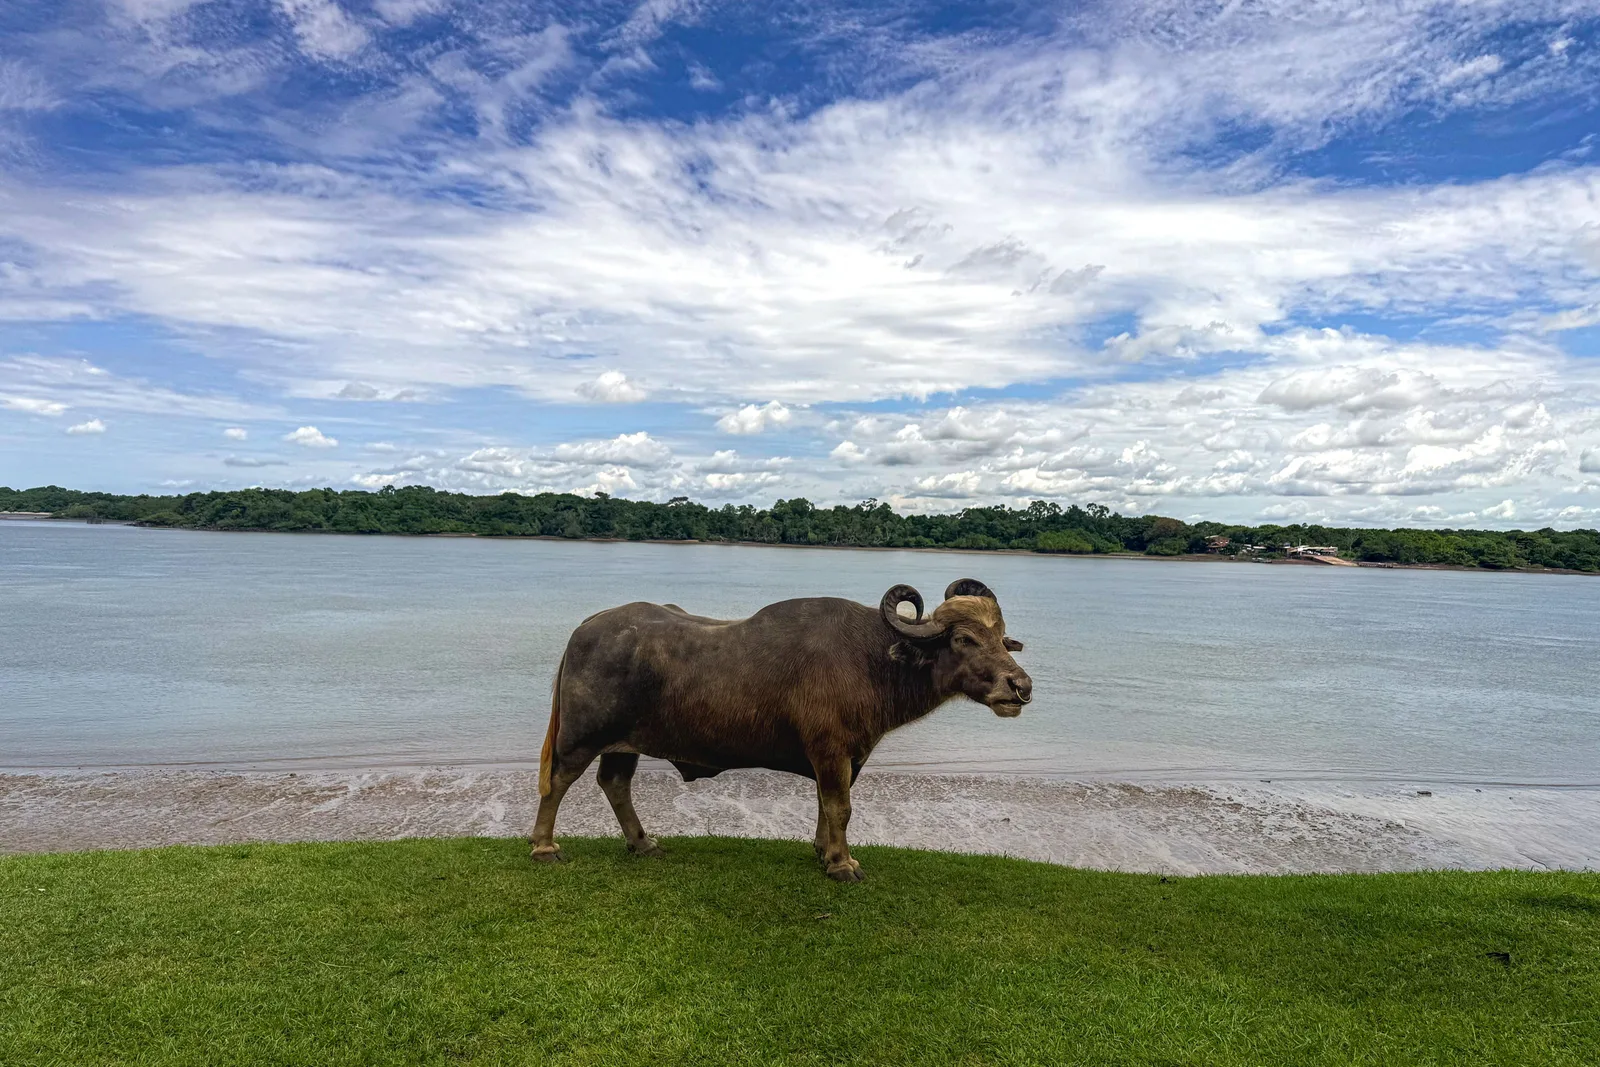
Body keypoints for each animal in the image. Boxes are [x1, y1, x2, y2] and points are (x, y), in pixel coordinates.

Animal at [530, 578, 1031, 881]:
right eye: (964, 639)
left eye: (1002, 638)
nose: (1020, 686)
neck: (873, 659)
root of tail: (588, 627)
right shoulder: (831, 751)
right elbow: (841, 808)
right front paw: (842, 863)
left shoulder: (842, 757)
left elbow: (825, 805)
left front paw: (823, 850)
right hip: (581, 737)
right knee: (557, 783)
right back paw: (544, 847)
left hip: (623, 743)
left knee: (615, 783)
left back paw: (643, 842)